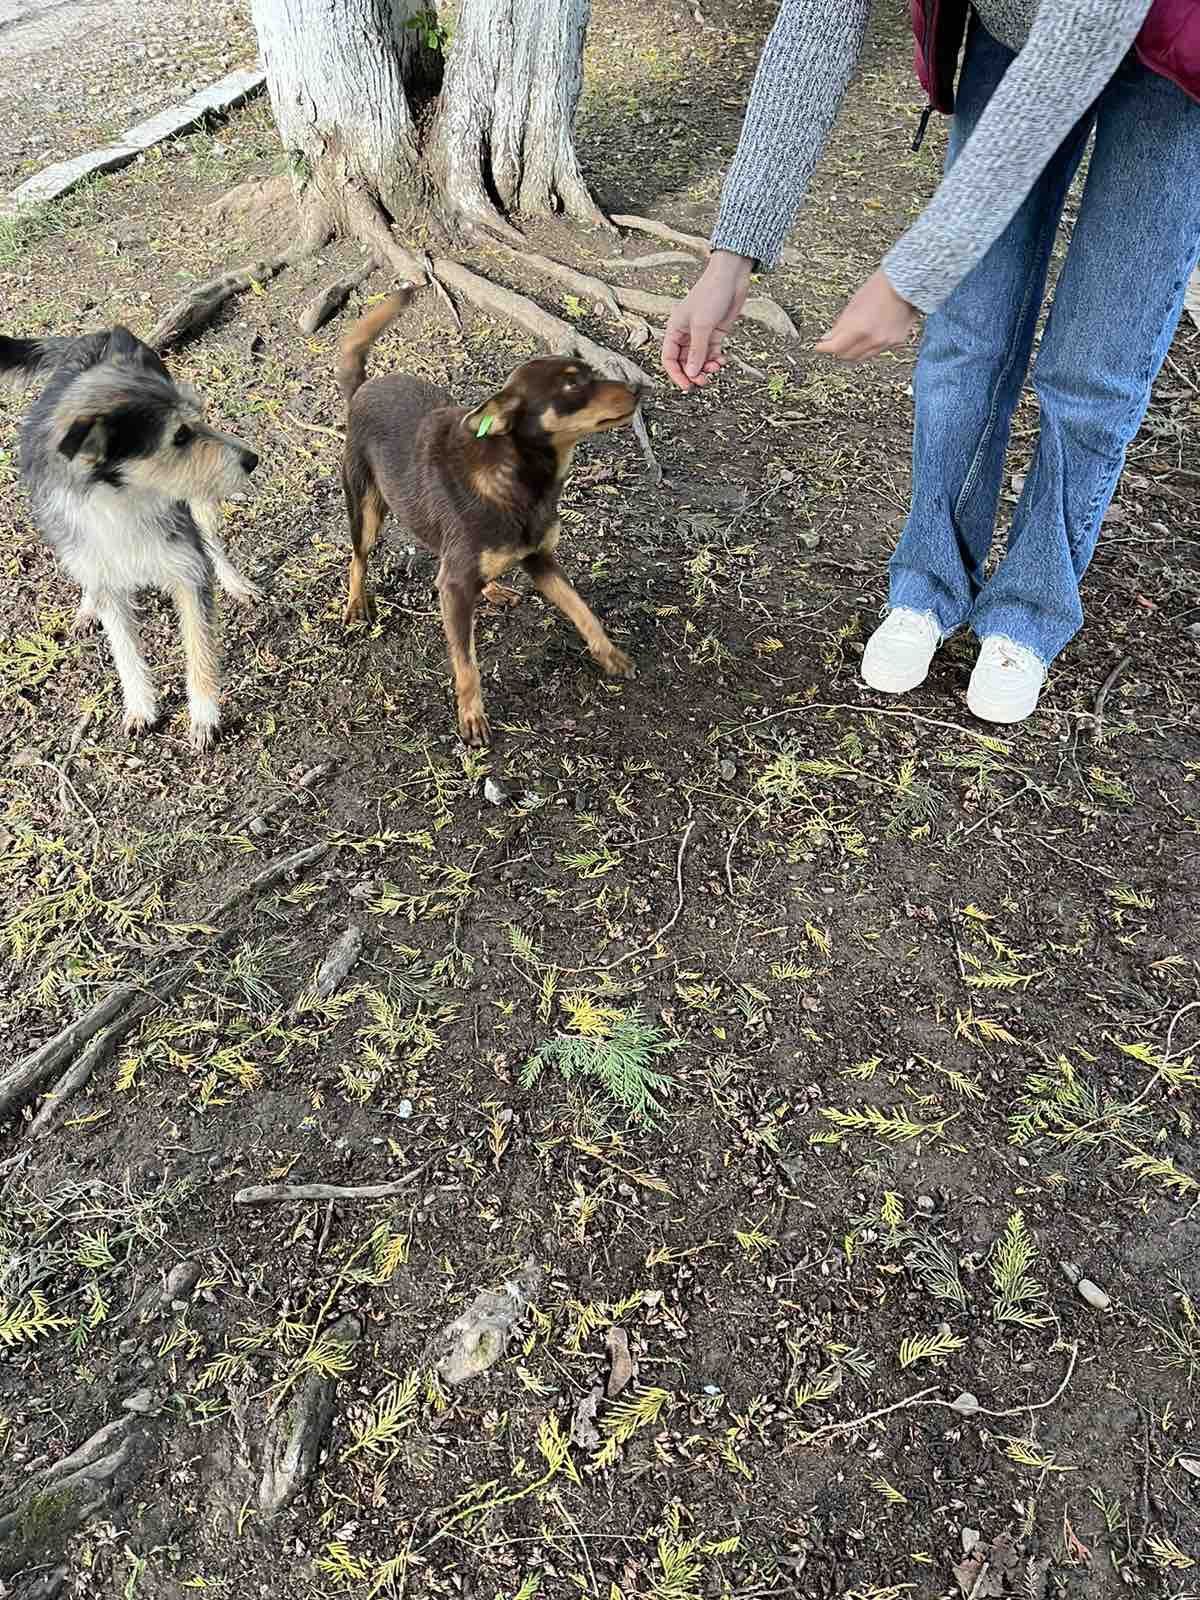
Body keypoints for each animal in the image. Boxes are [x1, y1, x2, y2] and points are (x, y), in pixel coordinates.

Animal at [0, 326, 262, 755]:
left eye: (194, 422)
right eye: (180, 436)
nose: (251, 459)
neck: (121, 501)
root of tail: (102, 332)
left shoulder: (188, 567)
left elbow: (200, 647)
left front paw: (204, 716)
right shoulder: (97, 562)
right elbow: (124, 649)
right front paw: (140, 706)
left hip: (199, 495)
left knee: (213, 543)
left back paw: (236, 583)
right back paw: (87, 606)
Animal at [339, 291, 643, 745]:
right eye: (572, 383)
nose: (640, 388)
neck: (520, 476)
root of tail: (363, 387)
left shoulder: (540, 561)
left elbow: (583, 610)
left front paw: (610, 654)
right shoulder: (457, 585)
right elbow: (466, 662)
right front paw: (471, 716)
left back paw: (494, 588)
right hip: (367, 511)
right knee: (358, 558)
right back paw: (357, 603)